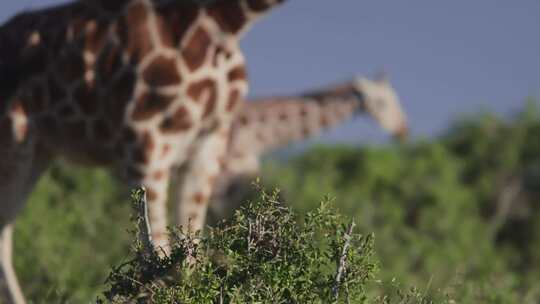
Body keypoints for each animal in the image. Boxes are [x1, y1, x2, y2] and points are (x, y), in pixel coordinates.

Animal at [0, 0, 286, 302]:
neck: (225, 22)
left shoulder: (207, 145)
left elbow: (188, 252)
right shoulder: (144, 142)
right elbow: (157, 254)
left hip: (38, 151)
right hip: (13, 140)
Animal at [191, 76, 410, 221]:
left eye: (397, 98)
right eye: (381, 102)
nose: (403, 131)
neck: (256, 134)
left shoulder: (241, 181)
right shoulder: (220, 181)